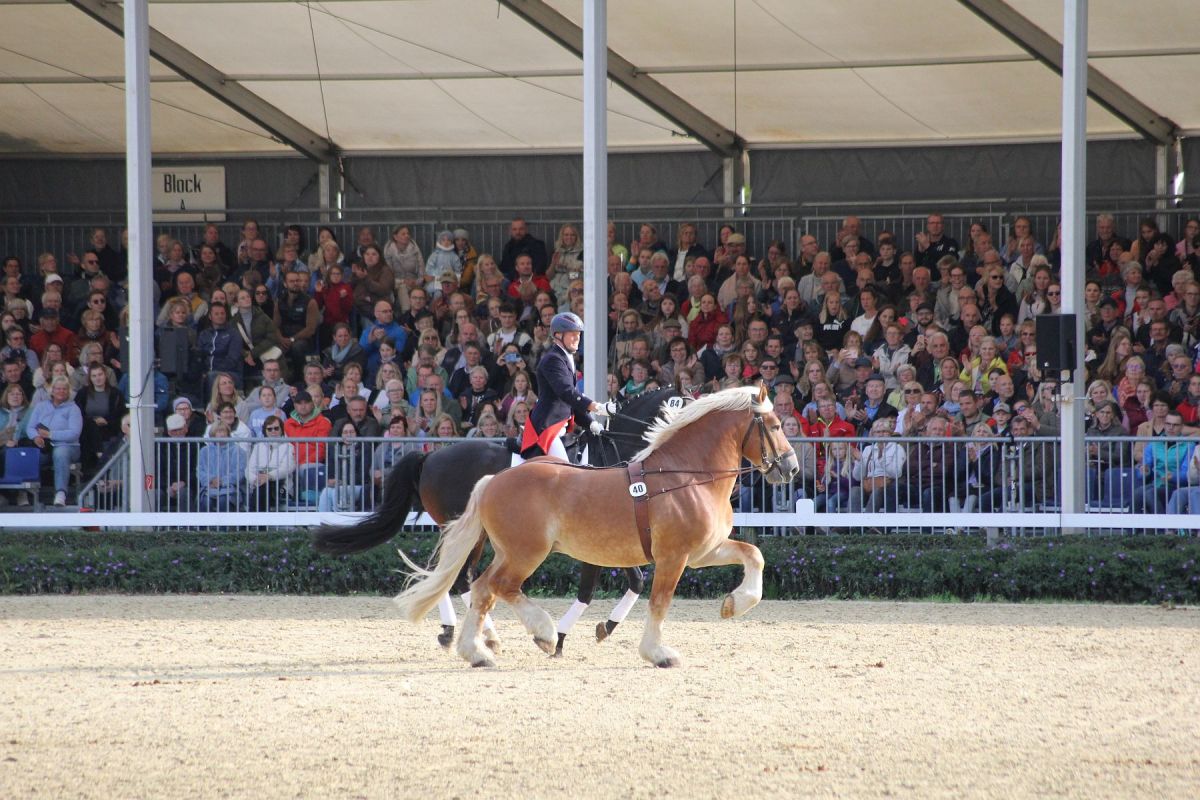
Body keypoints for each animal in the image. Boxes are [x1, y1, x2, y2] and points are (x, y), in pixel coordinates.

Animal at [312, 388, 686, 657]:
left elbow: (635, 581)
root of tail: (430, 456)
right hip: (466, 530)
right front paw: (561, 637)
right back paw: (479, 636)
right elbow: (593, 589)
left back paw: (458, 633)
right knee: (459, 578)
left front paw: (604, 627)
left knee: (450, 575)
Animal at [393, 386, 801, 671]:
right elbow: (658, 601)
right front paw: (657, 653)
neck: (684, 475)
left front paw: (735, 604)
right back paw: (539, 632)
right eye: (775, 426)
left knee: (480, 589)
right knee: (497, 586)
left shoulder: (702, 552)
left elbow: (754, 555)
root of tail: (493, 480)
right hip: (526, 552)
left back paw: (477, 651)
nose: (792, 468)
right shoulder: (674, 557)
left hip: (508, 550)